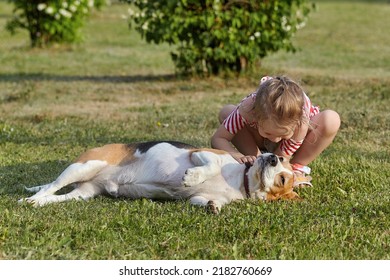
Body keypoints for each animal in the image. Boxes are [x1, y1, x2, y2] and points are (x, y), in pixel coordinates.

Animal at [19, 141, 298, 213]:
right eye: (282, 161)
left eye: (283, 180)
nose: (272, 157)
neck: (241, 182)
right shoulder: (201, 154)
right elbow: (208, 167)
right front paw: (192, 177)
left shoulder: (199, 197)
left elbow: (205, 201)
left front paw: (213, 207)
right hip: (85, 165)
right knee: (52, 185)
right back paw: (29, 199)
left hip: (83, 193)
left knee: (55, 196)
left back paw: (36, 202)